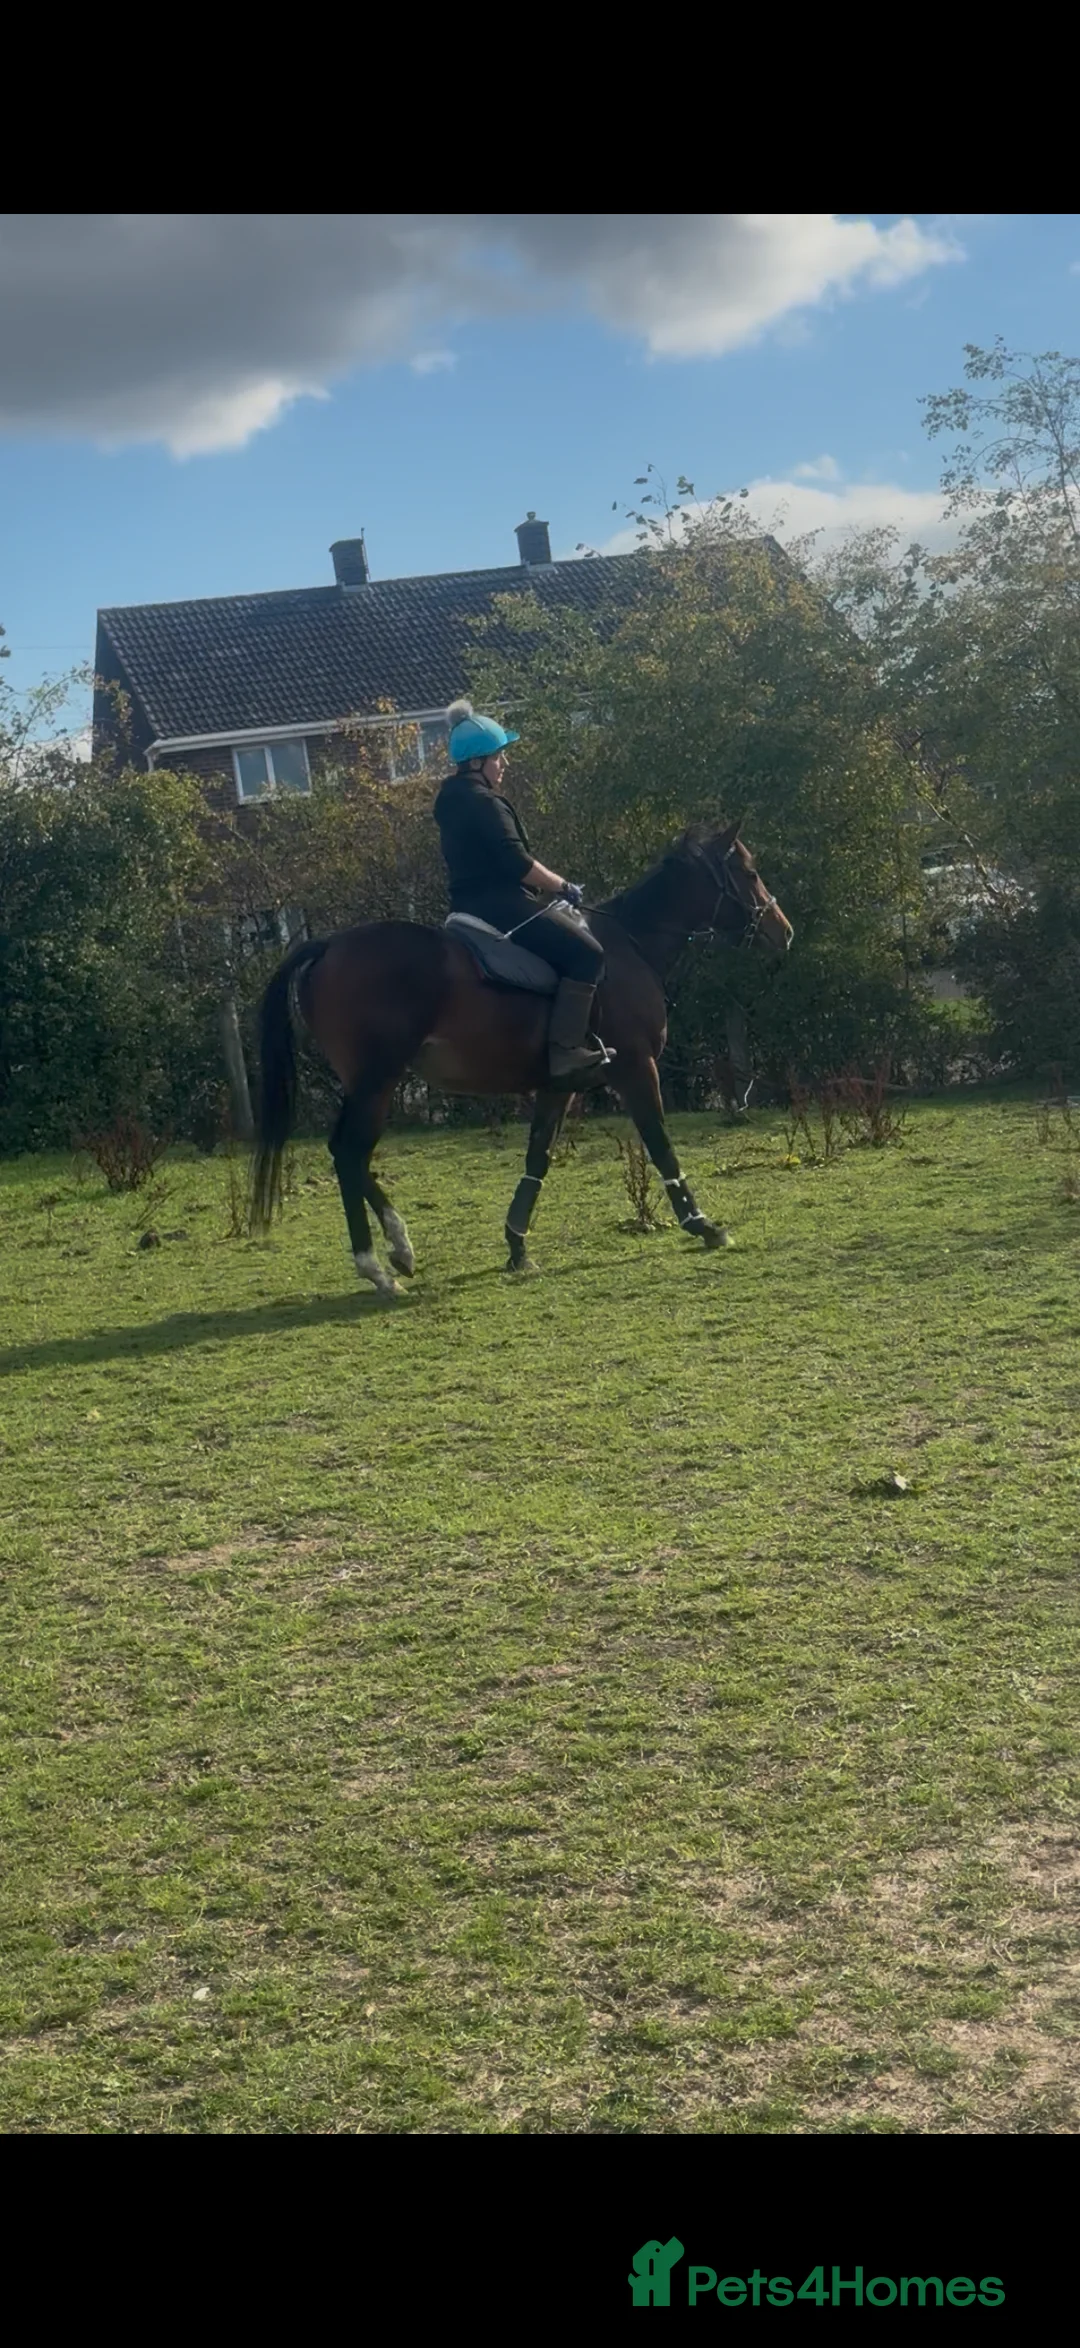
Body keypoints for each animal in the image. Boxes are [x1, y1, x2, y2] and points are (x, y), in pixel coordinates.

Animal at [249, 819, 793, 1294]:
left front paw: (517, 1247)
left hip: (371, 1082)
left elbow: (538, 1158)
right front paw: (703, 1225)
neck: (631, 944)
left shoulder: (558, 1086)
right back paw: (379, 1265)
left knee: (350, 1154)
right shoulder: (638, 1069)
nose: (782, 931)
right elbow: (661, 1145)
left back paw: (395, 1252)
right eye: (748, 872)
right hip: (377, 1079)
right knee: (349, 1151)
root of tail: (329, 944)